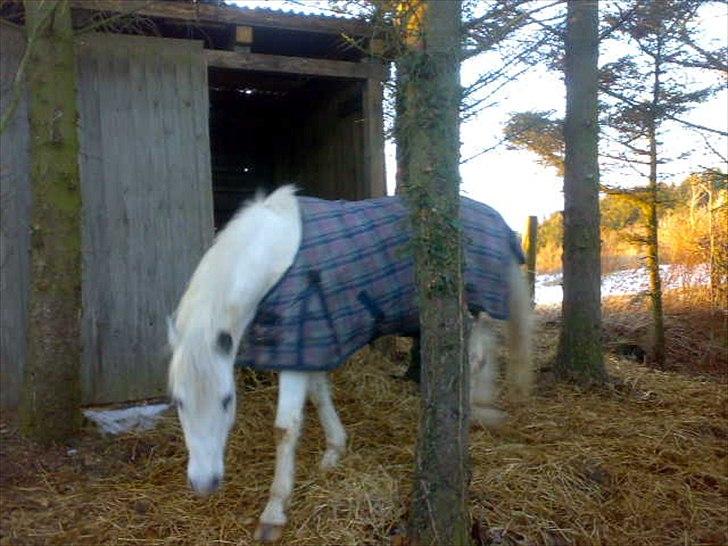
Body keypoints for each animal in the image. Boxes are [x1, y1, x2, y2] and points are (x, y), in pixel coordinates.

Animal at [165, 186, 532, 540]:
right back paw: (483, 409)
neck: (276, 259)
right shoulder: (310, 345)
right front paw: (334, 451)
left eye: (227, 400)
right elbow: (319, 394)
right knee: (484, 350)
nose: (204, 483)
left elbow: (285, 427)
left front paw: (273, 513)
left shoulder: (299, 345)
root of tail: (497, 219)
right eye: (179, 402)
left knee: (476, 357)